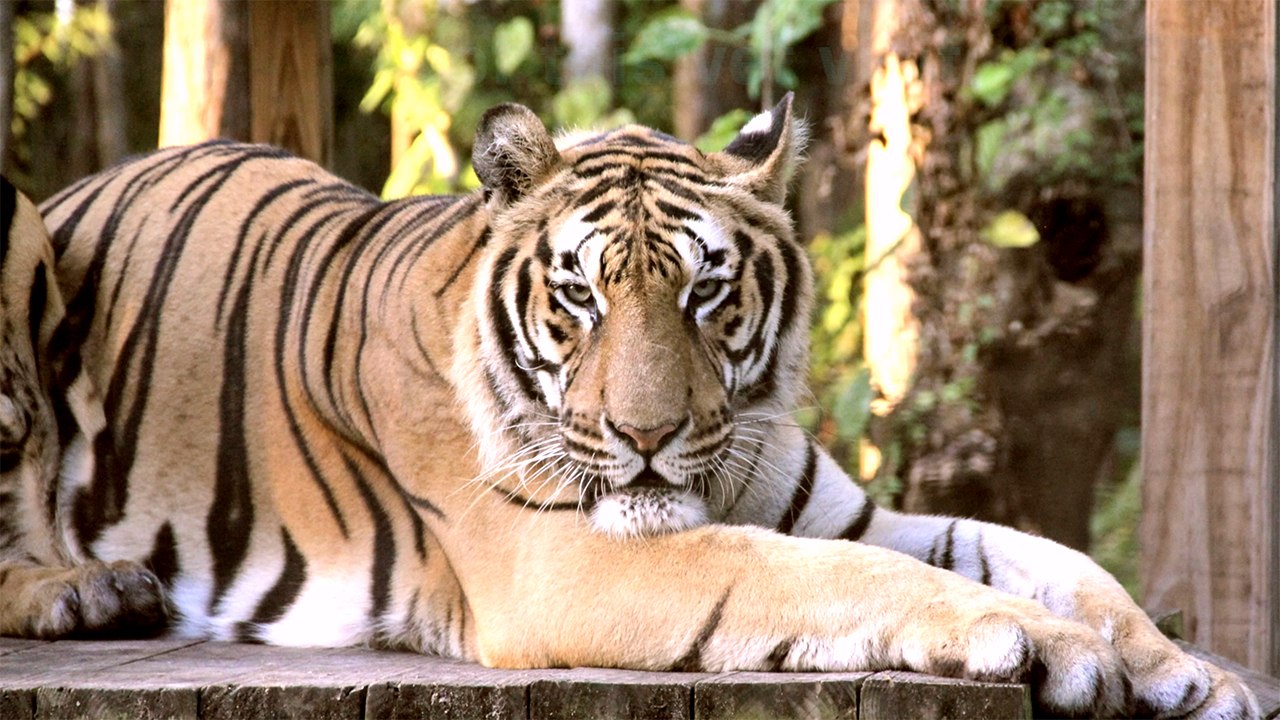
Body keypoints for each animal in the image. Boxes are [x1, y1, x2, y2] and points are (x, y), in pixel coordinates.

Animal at [0, 95, 1257, 718]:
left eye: (704, 291)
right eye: (580, 297)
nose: (645, 439)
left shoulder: (841, 508)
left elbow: (1048, 557)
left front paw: (1184, 671)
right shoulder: (560, 558)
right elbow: (847, 578)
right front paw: (1052, 650)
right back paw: (83, 590)